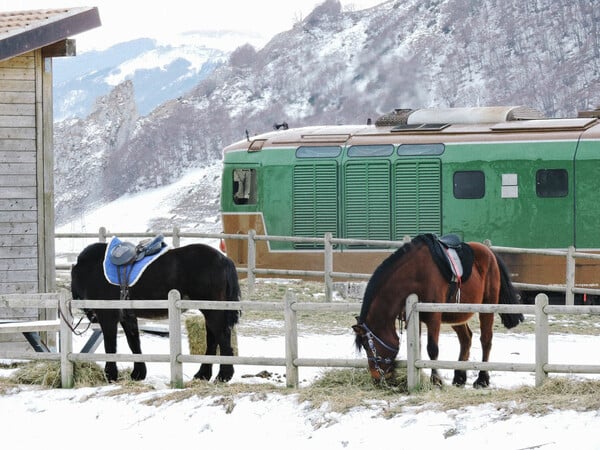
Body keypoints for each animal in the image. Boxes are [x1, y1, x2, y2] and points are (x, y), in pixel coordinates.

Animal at [69, 243, 239, 384]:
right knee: (212, 339)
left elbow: (110, 346)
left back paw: (223, 375)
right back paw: (203, 374)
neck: (91, 269)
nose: (91, 316)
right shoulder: (128, 317)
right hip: (210, 311)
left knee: (222, 337)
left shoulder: (108, 317)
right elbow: (133, 343)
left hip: (212, 311)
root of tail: (224, 259)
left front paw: (110, 375)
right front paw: (138, 373)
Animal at [354, 236, 524, 386]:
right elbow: (419, 346)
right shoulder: (416, 317)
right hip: (456, 314)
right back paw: (459, 377)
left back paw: (482, 379)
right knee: (466, 339)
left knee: (486, 340)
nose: (376, 378)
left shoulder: (433, 317)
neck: (415, 273)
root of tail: (490, 252)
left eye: (367, 346)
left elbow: (432, 349)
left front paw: (436, 380)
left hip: (487, 308)